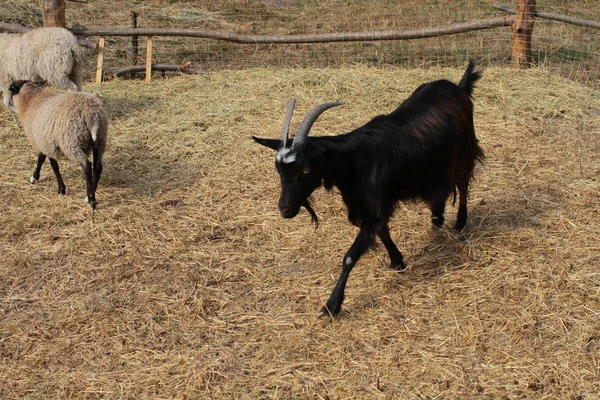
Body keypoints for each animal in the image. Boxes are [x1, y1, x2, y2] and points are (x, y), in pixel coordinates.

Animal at [9, 79, 108, 208]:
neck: (31, 100)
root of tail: (91, 114)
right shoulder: (45, 141)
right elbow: (42, 158)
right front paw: (36, 177)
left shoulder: (47, 144)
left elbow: (52, 165)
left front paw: (60, 188)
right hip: (100, 139)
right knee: (98, 167)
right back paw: (90, 195)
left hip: (71, 142)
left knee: (86, 165)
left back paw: (91, 199)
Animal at [252, 61, 482, 318]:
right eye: (278, 170)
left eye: (305, 169)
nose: (285, 209)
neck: (354, 162)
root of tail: (458, 87)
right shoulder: (367, 206)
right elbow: (382, 231)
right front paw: (397, 261)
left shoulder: (375, 205)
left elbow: (350, 256)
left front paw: (331, 305)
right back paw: (437, 219)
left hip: (463, 151)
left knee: (463, 183)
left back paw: (460, 222)